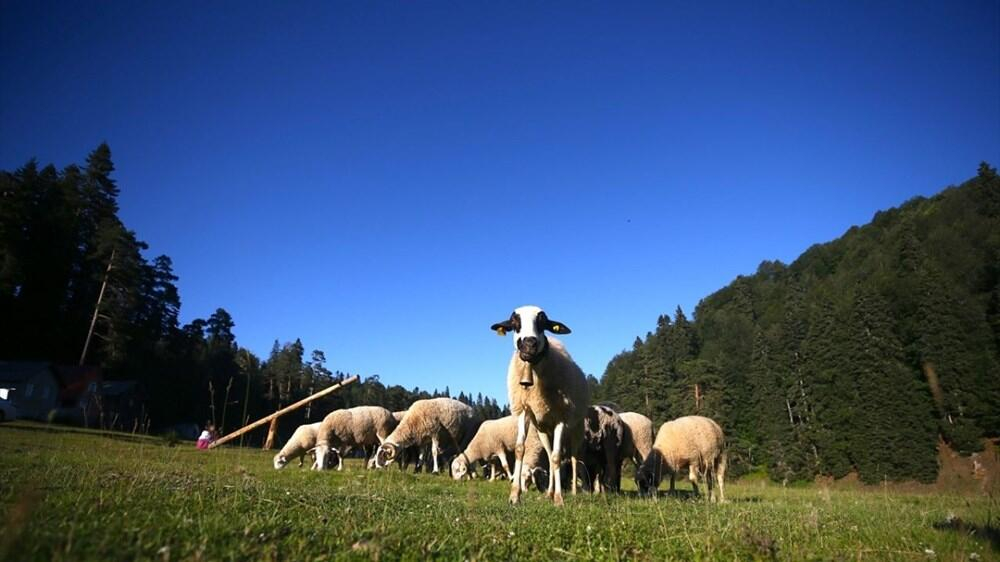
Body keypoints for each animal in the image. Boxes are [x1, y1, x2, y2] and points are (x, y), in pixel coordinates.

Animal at [490, 304, 588, 506]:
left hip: (576, 429)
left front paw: (559, 499)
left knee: (574, 458)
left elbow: (558, 457)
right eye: (514, 322)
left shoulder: (561, 418)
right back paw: (548, 493)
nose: (529, 344)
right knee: (550, 457)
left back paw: (574, 492)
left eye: (543, 321)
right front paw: (514, 496)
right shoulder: (524, 411)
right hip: (543, 430)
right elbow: (521, 449)